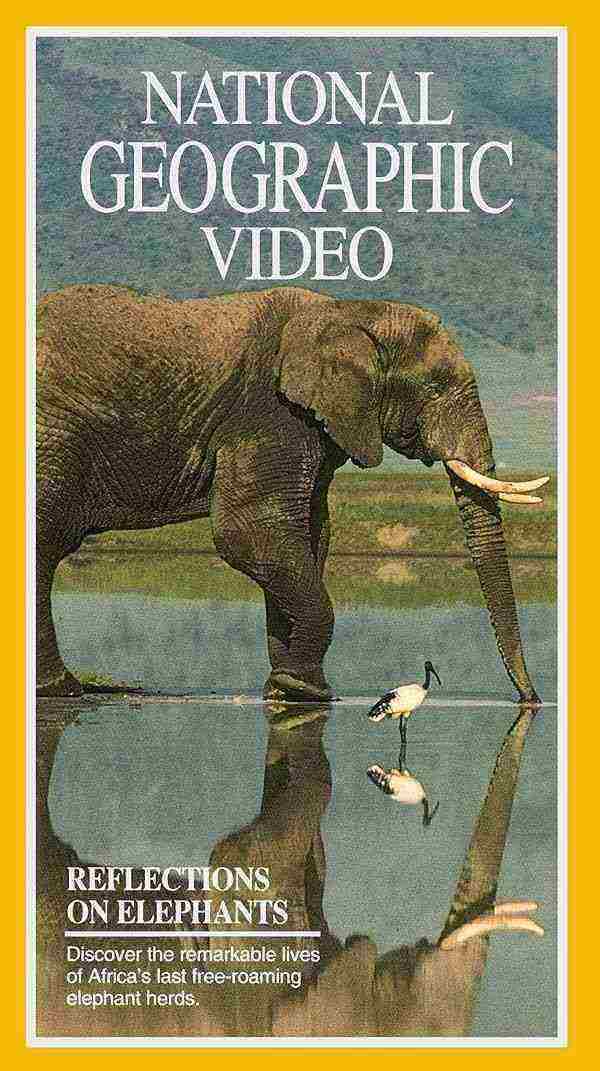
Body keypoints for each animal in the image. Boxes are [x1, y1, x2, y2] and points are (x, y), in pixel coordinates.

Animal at [36, 284, 547, 702]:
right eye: (435, 387)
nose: (529, 699)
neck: (349, 312)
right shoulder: (270, 412)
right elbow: (251, 532)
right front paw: (305, 692)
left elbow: (307, 535)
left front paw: (289, 690)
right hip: (54, 437)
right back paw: (63, 690)